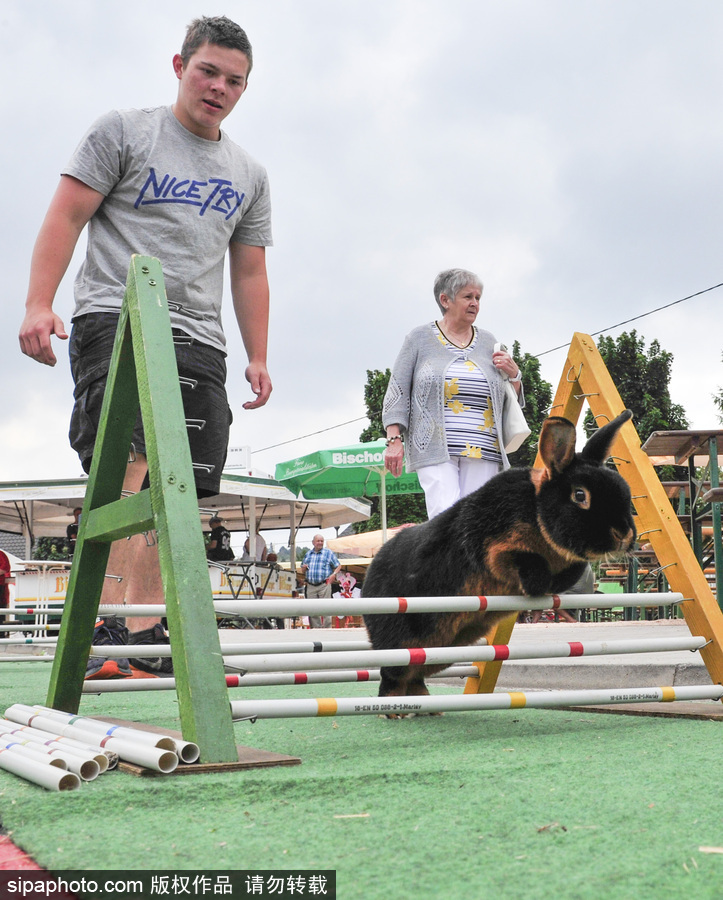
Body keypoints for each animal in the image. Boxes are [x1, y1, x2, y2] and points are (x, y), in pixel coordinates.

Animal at [364, 412, 636, 700]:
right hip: (400, 649)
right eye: (580, 495)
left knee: (415, 678)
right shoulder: (496, 549)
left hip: (437, 654)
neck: (536, 511)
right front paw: (536, 586)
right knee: (392, 678)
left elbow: (571, 573)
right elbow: (525, 561)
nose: (624, 534)